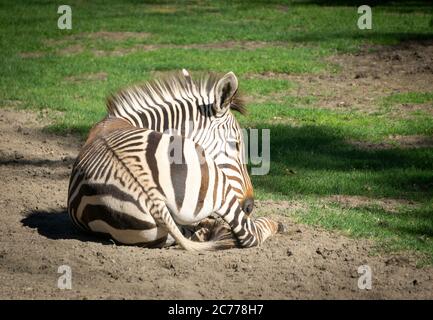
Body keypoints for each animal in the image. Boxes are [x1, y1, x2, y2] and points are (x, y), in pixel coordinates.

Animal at [66, 70, 284, 250]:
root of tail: (151, 196)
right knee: (249, 235)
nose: (249, 206)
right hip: (218, 184)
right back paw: (275, 224)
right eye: (235, 144)